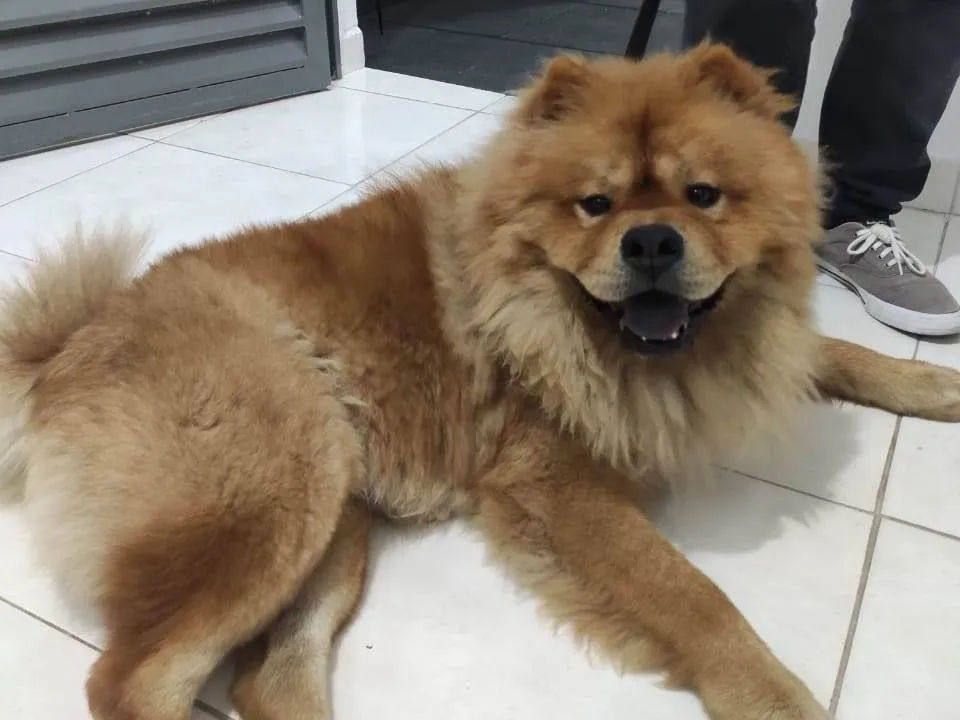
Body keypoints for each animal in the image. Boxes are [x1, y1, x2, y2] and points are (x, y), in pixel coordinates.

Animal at [2, 43, 959, 720]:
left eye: (703, 194)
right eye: (595, 205)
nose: (652, 241)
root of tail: (69, 344)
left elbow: (833, 354)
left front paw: (934, 385)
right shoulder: (555, 483)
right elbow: (693, 596)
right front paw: (775, 697)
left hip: (331, 522)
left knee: (269, 681)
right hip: (265, 498)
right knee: (131, 681)